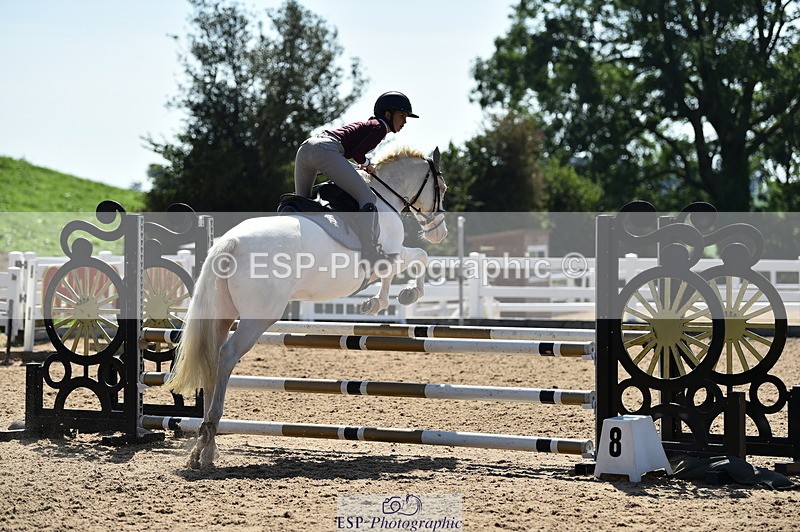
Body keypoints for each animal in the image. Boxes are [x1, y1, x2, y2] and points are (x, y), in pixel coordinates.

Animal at [164, 146, 448, 468]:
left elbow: (401, 271)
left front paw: (375, 302)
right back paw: (210, 435)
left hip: (221, 316)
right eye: (442, 188)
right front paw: (405, 295)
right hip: (258, 318)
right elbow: (420, 257)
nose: (439, 233)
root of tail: (231, 242)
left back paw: (204, 447)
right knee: (227, 355)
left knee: (212, 358)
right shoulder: (391, 256)